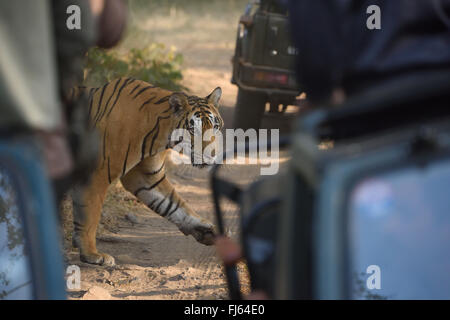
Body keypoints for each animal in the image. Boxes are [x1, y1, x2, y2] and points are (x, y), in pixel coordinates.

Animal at [69, 77, 222, 264]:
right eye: (194, 129)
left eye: (215, 126)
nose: (211, 155)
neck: (160, 135)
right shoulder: (97, 173)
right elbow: (90, 215)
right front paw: (92, 254)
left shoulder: (146, 176)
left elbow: (174, 204)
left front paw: (204, 228)